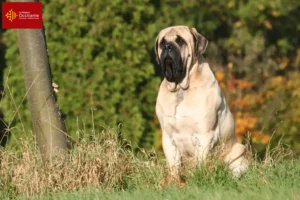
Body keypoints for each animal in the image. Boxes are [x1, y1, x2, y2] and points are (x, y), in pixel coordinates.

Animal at [155, 25, 248, 179]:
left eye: (180, 41)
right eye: (162, 43)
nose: (167, 47)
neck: (181, 89)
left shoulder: (205, 134)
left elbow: (200, 161)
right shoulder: (168, 137)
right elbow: (173, 165)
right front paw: (173, 181)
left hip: (238, 155)